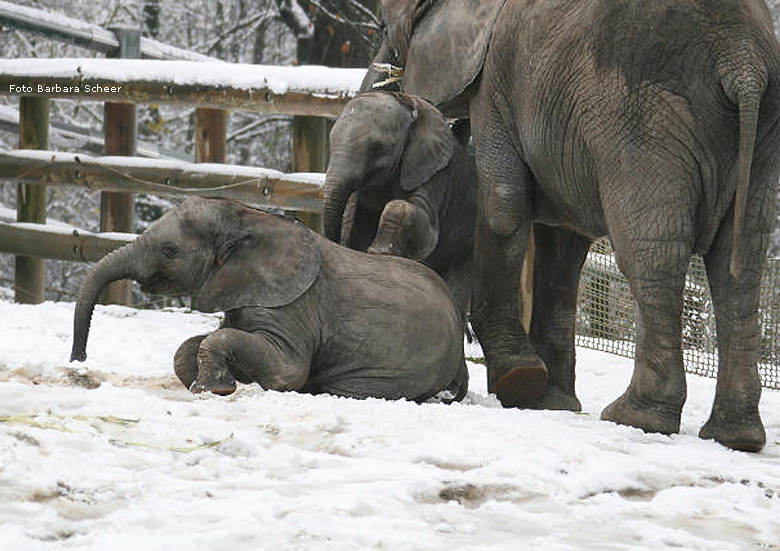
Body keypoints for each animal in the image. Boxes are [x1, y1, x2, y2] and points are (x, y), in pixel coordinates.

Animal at [70, 196, 466, 404]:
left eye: (169, 251)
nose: (79, 361)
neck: (249, 219)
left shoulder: (294, 306)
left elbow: (287, 369)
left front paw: (212, 388)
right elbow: (193, 344)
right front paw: (210, 385)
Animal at [322, 90, 476, 320]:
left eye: (377, 148)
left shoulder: (435, 174)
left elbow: (428, 233)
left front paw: (380, 251)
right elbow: (354, 225)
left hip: (467, 246)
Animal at [362, 0, 780, 452]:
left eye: (383, 26)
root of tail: (742, 61)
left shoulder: (497, 85)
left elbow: (503, 209)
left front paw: (519, 381)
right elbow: (564, 243)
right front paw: (550, 401)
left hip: (641, 121)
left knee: (651, 255)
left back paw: (636, 417)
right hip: (759, 137)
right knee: (739, 267)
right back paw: (735, 436)